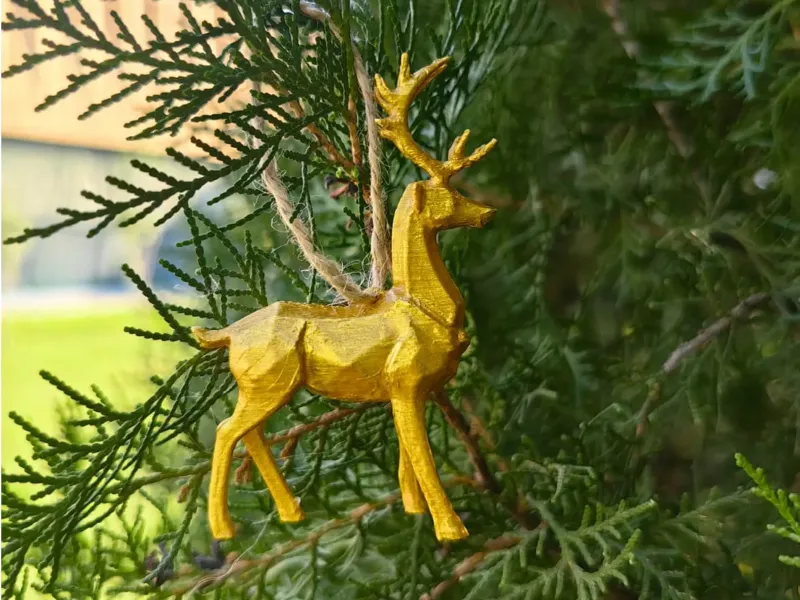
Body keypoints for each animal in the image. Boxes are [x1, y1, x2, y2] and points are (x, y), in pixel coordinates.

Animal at [192, 53, 497, 542]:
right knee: (225, 431)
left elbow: (406, 458)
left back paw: (291, 511)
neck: (425, 310)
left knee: (250, 434)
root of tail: (228, 333)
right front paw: (450, 528)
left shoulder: (405, 390)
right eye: (447, 195)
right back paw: (225, 528)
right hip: (266, 382)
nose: (487, 213)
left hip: (263, 385)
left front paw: (412, 508)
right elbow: (424, 458)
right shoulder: (405, 382)